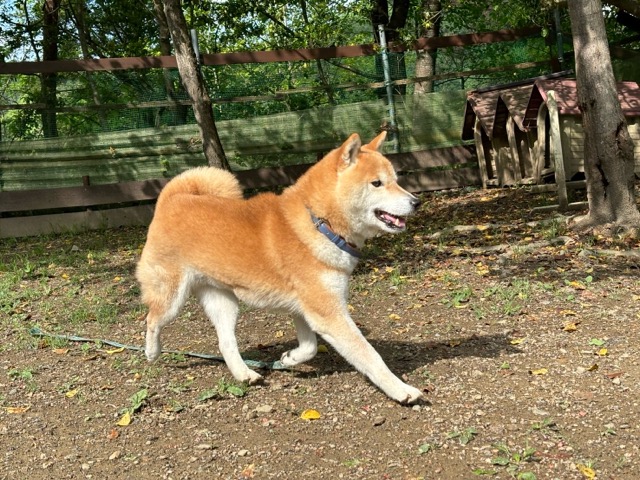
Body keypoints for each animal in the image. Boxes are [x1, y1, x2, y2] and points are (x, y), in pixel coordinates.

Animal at [136, 132, 423, 403]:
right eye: (377, 183)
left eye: (396, 179)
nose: (416, 202)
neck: (319, 223)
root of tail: (172, 199)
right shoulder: (328, 314)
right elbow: (370, 355)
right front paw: (401, 390)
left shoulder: (305, 309)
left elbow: (309, 347)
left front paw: (289, 359)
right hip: (172, 297)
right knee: (152, 319)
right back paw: (152, 351)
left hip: (223, 301)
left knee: (226, 343)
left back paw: (245, 374)